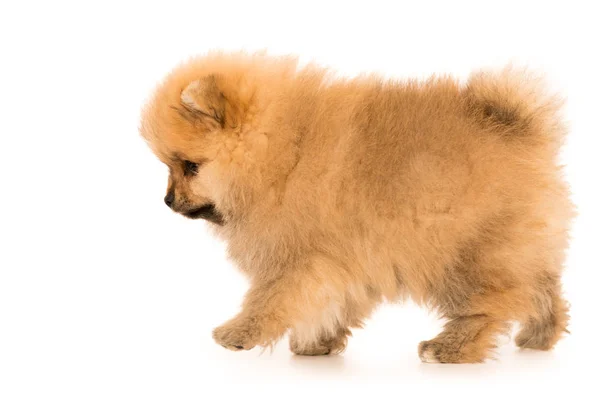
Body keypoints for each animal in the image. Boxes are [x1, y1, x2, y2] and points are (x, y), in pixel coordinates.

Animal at [139, 52, 572, 362]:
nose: (167, 200)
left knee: (488, 306)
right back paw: (540, 336)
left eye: (190, 166)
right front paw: (317, 343)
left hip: (463, 255)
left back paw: (448, 347)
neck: (283, 155)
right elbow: (331, 303)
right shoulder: (340, 259)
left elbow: (271, 298)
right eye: (169, 166)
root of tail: (522, 132)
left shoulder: (300, 257)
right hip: (516, 247)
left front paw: (239, 334)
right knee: (544, 290)